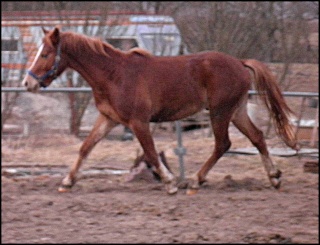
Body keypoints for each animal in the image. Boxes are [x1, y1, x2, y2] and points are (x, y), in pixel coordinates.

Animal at [21, 27, 298, 195]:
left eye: (45, 54)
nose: (27, 83)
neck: (113, 75)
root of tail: (240, 63)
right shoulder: (109, 119)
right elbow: (86, 147)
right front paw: (67, 181)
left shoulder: (138, 122)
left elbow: (152, 154)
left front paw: (170, 183)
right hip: (237, 111)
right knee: (257, 137)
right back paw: (274, 177)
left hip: (220, 112)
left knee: (223, 144)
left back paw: (195, 181)